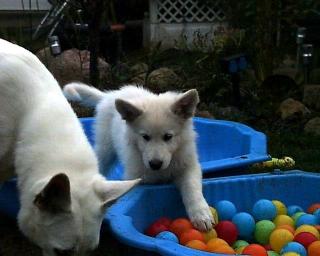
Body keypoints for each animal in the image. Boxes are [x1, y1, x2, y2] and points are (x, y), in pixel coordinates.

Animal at [63, 83, 214, 231]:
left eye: (168, 137)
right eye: (145, 137)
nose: (155, 164)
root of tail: (110, 95)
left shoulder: (188, 166)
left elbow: (192, 188)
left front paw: (201, 215)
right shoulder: (137, 178)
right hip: (105, 148)